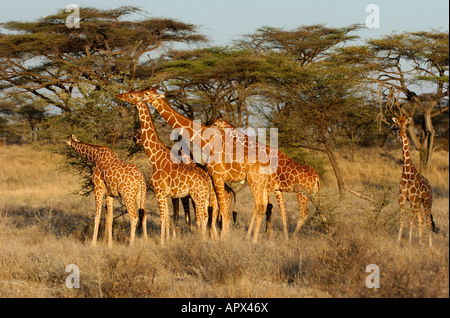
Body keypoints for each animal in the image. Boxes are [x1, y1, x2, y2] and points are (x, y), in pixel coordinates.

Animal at [115, 90, 222, 242]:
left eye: (132, 95)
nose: (119, 95)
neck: (155, 158)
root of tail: (207, 178)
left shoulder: (159, 191)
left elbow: (164, 218)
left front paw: (162, 242)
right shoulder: (167, 194)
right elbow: (168, 218)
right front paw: (167, 240)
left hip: (198, 196)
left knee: (202, 217)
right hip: (204, 197)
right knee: (207, 216)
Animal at [140, 86, 320, 241]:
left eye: (147, 93)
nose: (139, 96)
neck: (208, 142)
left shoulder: (218, 177)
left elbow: (221, 209)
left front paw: (222, 238)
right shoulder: (218, 179)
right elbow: (219, 208)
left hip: (278, 188)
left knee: (273, 209)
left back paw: (264, 238)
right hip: (271, 187)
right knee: (272, 208)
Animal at [394, 114, 436, 246]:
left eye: (406, 124)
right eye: (397, 124)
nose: (401, 132)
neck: (407, 172)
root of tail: (430, 186)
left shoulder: (411, 199)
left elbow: (410, 221)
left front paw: (409, 243)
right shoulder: (402, 200)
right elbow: (402, 220)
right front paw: (399, 243)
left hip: (427, 201)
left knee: (428, 221)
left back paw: (430, 245)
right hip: (418, 203)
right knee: (421, 218)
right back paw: (420, 242)